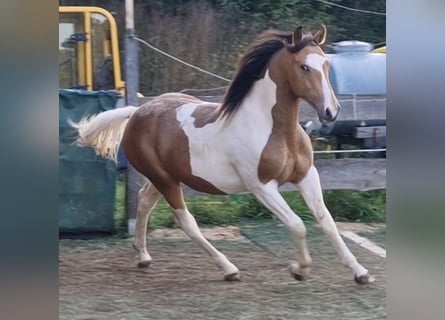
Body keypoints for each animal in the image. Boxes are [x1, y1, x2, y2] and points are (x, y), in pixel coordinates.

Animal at [74, 25, 372, 284]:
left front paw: (361, 272)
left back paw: (144, 256)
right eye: (304, 67)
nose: (331, 111)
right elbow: (298, 224)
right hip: (165, 180)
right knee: (185, 221)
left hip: (164, 178)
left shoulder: (306, 176)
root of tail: (136, 112)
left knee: (144, 201)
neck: (273, 129)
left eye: (327, 65)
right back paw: (229, 268)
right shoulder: (262, 186)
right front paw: (299, 269)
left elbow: (327, 221)